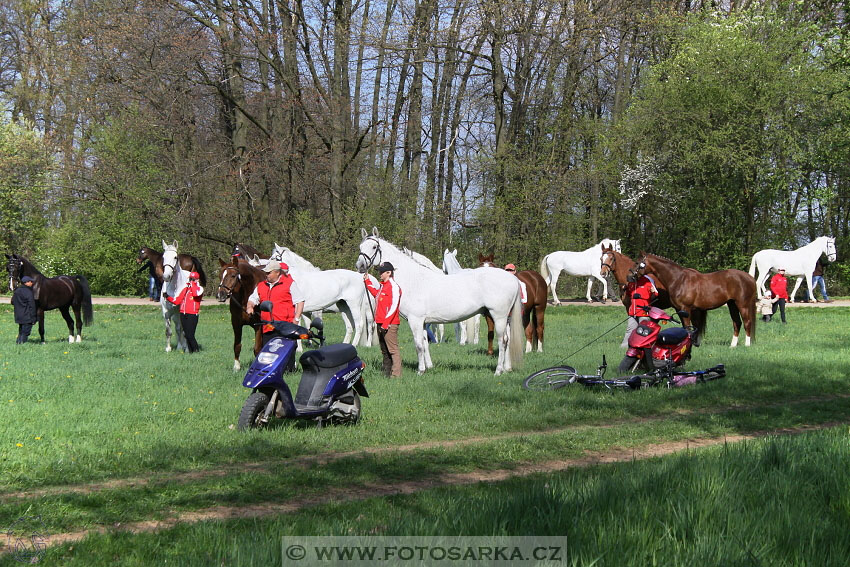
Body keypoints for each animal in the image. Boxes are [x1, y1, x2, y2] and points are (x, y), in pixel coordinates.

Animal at [352, 226, 524, 378]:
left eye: (374, 246)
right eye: (360, 246)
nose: (360, 266)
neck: (413, 279)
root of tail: (512, 279)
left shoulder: (415, 320)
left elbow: (418, 345)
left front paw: (420, 371)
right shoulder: (423, 322)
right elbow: (425, 342)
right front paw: (429, 366)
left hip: (498, 316)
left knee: (502, 341)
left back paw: (498, 371)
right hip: (504, 318)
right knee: (507, 340)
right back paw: (506, 369)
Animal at [628, 254, 756, 350]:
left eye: (637, 263)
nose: (629, 276)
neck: (679, 280)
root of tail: (750, 278)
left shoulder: (686, 308)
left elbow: (688, 327)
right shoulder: (680, 309)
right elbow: (688, 327)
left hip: (742, 305)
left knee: (747, 322)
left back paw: (747, 344)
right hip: (732, 304)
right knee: (737, 323)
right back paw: (732, 345)